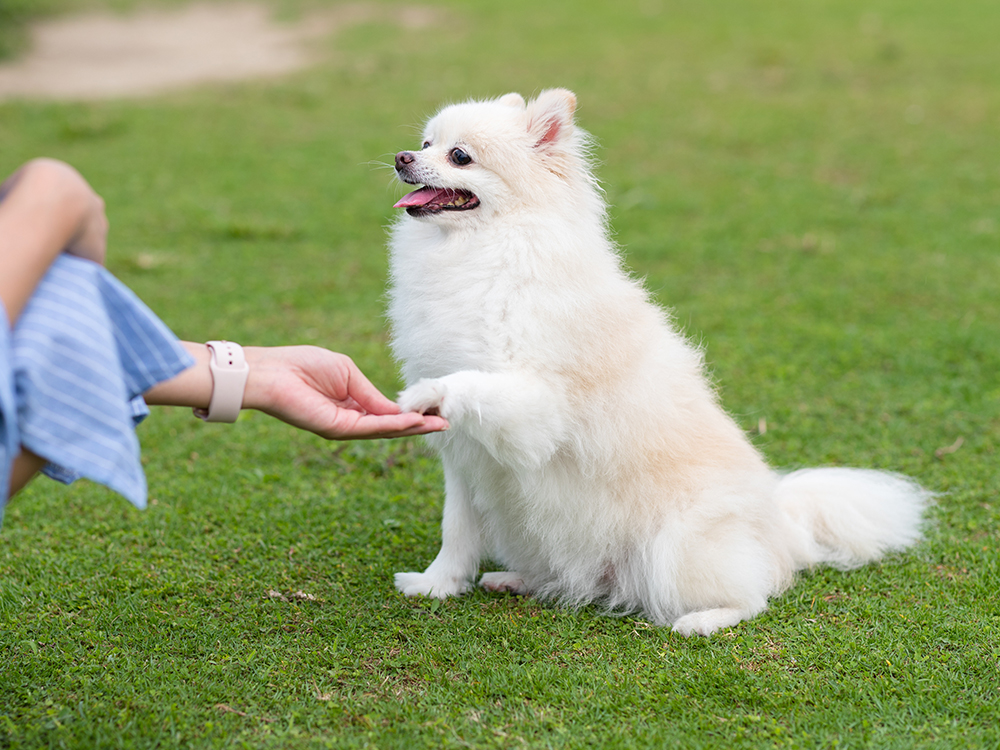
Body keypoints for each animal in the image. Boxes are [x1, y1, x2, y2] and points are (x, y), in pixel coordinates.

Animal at [384, 91, 928, 636]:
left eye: (460, 156)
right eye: (426, 143)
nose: (401, 157)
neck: (481, 252)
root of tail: (782, 525)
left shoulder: (535, 409)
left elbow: (472, 383)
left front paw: (428, 393)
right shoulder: (464, 460)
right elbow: (456, 530)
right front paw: (437, 585)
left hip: (678, 546)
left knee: (755, 595)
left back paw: (704, 620)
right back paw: (517, 579)